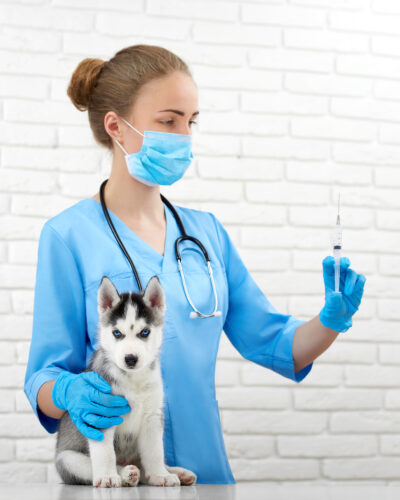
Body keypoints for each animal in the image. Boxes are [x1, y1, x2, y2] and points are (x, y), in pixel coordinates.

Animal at [53, 276, 197, 486]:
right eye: (117, 333)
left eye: (144, 332)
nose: (130, 359)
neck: (132, 380)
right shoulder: (100, 414)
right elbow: (105, 453)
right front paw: (107, 476)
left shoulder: (152, 417)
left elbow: (155, 452)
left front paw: (160, 475)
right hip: (67, 459)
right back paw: (125, 474)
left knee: (144, 467)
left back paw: (174, 472)